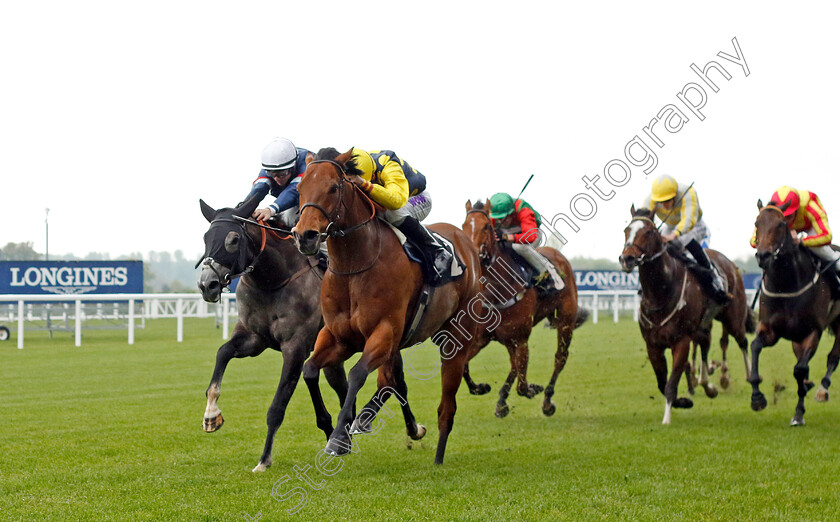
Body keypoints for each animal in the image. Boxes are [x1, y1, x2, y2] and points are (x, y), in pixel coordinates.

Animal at [196, 195, 348, 472]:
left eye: (234, 239)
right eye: (206, 237)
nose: (207, 285)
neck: (273, 281)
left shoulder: (295, 347)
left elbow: (277, 407)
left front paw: (264, 460)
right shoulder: (253, 338)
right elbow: (223, 352)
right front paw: (211, 415)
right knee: (339, 386)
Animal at [292, 146, 482, 464]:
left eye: (333, 188)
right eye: (300, 189)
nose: (304, 236)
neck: (355, 266)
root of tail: (465, 242)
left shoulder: (384, 332)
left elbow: (357, 374)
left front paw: (338, 437)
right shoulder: (338, 337)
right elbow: (308, 369)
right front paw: (333, 426)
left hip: (455, 338)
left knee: (447, 406)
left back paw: (438, 457)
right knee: (393, 381)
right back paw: (382, 422)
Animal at [462, 199, 588, 414]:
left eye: (486, 226)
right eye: (463, 225)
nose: (472, 253)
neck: (498, 288)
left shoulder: (521, 338)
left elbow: (521, 385)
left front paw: (530, 389)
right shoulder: (483, 337)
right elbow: (464, 366)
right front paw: (481, 387)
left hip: (566, 320)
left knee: (559, 358)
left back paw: (547, 400)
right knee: (515, 364)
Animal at [616, 205, 756, 420]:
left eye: (648, 232)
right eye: (626, 230)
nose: (627, 259)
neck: (661, 293)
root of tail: (731, 264)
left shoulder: (681, 341)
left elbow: (671, 384)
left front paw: (667, 419)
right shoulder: (653, 346)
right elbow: (662, 383)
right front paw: (684, 401)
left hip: (733, 317)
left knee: (742, 342)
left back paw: (747, 376)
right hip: (702, 326)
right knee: (706, 345)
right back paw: (708, 385)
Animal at [748, 199, 840, 422]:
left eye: (781, 224)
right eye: (757, 223)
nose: (763, 255)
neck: (786, 284)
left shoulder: (812, 331)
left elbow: (800, 369)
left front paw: (798, 413)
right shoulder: (770, 329)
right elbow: (755, 347)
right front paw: (757, 398)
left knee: (833, 356)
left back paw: (822, 389)